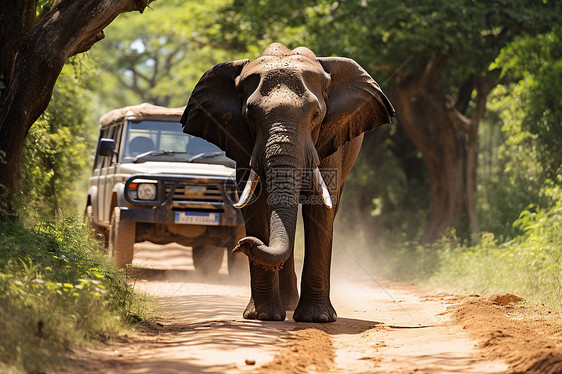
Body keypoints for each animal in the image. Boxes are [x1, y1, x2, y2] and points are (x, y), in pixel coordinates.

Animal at [180, 43, 394, 322]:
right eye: (250, 115)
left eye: (316, 114)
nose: (242, 244)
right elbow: (255, 204)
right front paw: (262, 316)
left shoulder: (330, 138)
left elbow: (319, 209)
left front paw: (316, 319)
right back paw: (287, 304)